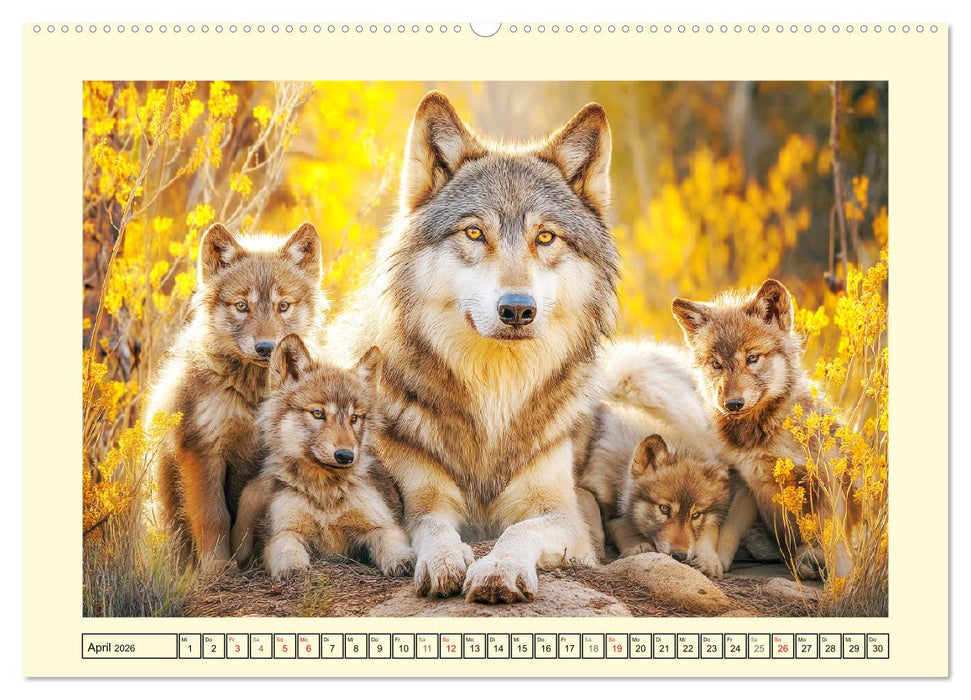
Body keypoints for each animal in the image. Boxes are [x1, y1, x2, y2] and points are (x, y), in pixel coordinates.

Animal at [145, 222, 326, 568]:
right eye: (242, 306)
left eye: (283, 306)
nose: (266, 348)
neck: (252, 396)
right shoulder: (202, 450)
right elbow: (212, 516)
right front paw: (216, 568)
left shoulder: (270, 458)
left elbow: (250, 502)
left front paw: (243, 554)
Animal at [230, 335, 414, 579]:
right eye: (318, 414)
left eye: (354, 418)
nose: (345, 456)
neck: (325, 493)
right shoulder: (283, 531)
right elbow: (286, 549)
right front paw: (293, 567)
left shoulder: (382, 524)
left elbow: (391, 542)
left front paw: (402, 560)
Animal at [327, 92, 619, 603]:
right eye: (474, 233)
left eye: (545, 236)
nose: (517, 309)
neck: (494, 396)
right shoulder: (419, 499)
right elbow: (434, 527)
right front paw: (445, 562)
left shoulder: (564, 516)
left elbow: (518, 531)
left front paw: (499, 570)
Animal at [672, 279, 859, 578]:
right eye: (716, 364)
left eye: (752, 358)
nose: (733, 404)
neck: (758, 437)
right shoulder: (743, 482)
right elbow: (727, 531)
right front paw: (713, 562)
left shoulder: (826, 481)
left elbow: (837, 544)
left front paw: (843, 582)